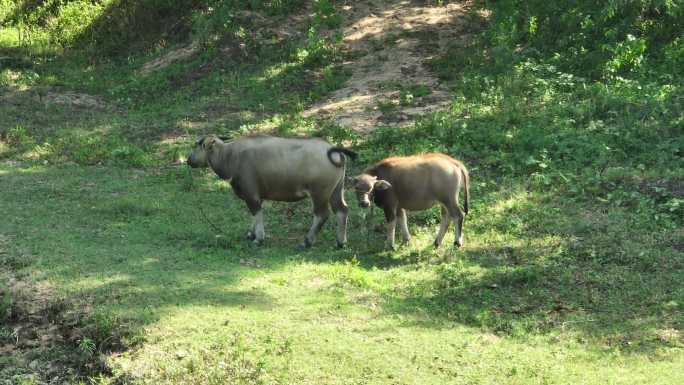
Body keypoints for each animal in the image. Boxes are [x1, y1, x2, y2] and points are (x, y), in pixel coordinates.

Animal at [187, 135, 358, 248]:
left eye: (198, 145)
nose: (188, 160)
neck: (230, 157)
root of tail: (332, 150)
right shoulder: (256, 196)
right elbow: (253, 215)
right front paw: (251, 234)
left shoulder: (251, 195)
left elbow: (256, 214)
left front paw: (259, 238)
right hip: (336, 190)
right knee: (342, 210)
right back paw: (340, 242)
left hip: (319, 193)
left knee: (322, 215)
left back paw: (307, 241)